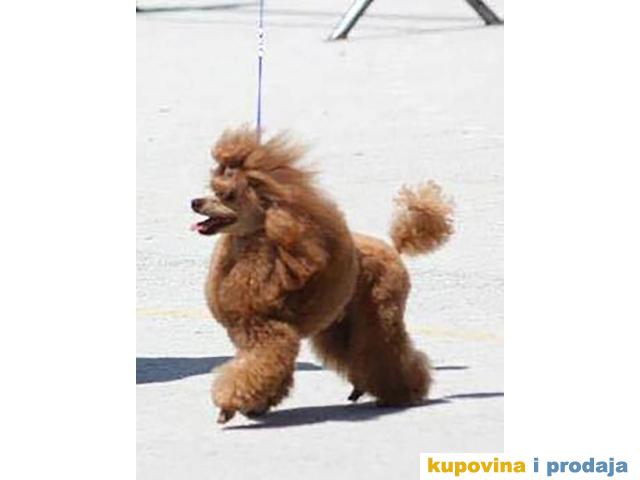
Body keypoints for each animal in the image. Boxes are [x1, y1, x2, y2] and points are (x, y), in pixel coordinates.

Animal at [191, 126, 453, 423]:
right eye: (212, 189)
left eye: (228, 195)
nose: (194, 202)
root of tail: (394, 248)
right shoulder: (251, 334)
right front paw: (259, 404)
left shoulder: (267, 332)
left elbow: (255, 367)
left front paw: (229, 406)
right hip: (341, 323)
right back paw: (364, 389)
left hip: (380, 313)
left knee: (387, 351)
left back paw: (403, 392)